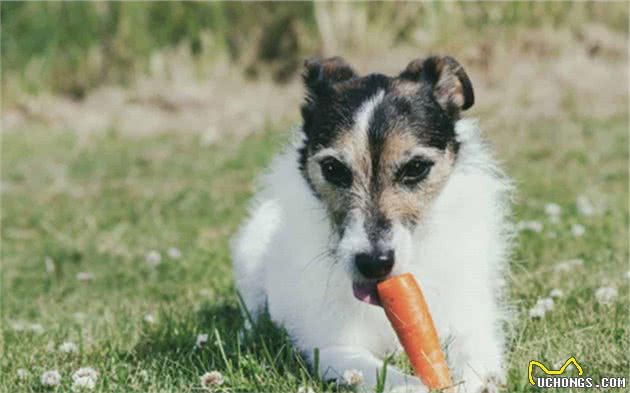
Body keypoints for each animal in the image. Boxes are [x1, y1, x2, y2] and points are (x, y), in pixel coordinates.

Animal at [232, 56, 512, 392]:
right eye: (333, 168)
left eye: (416, 167)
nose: (374, 263)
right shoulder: (333, 349)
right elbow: (388, 376)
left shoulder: (471, 321)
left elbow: (475, 357)